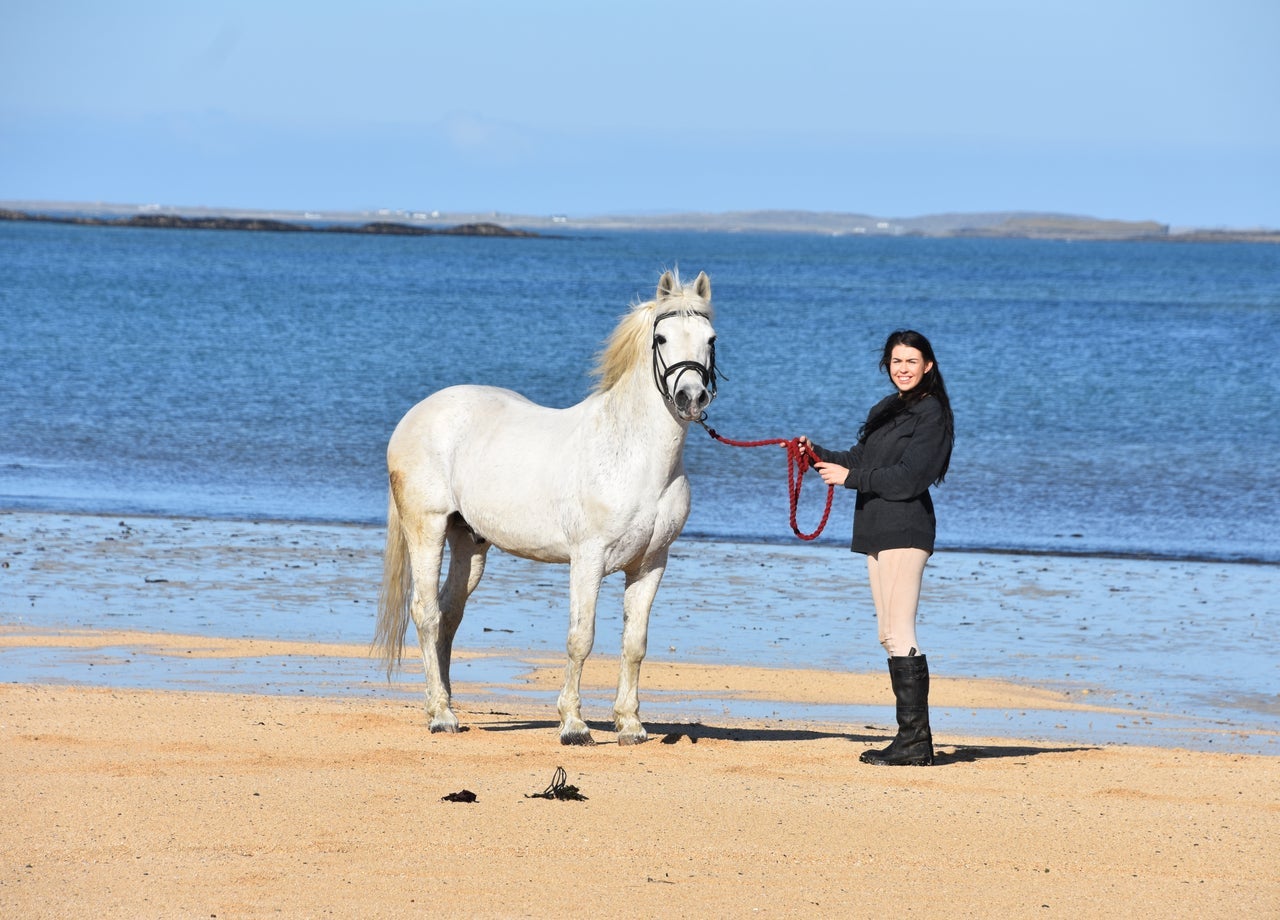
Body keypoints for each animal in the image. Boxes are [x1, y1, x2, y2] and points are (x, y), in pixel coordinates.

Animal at [373, 269, 718, 745]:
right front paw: (573, 725)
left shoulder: (651, 564)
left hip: (469, 542)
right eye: (661, 338)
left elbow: (635, 643)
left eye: (710, 339)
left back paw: (443, 702)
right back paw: (442, 716)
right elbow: (581, 637)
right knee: (426, 613)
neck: (634, 455)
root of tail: (414, 416)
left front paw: (630, 725)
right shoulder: (587, 560)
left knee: (448, 613)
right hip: (427, 530)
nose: (691, 397)